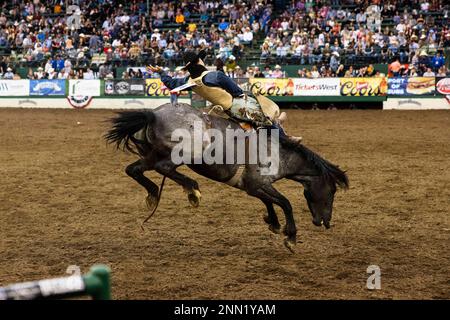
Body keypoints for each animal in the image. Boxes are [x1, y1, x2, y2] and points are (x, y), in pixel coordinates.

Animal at [104, 103, 348, 252]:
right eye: (333, 191)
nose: (326, 222)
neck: (279, 151)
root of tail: (154, 114)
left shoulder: (253, 186)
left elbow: (270, 202)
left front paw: (274, 223)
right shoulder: (260, 183)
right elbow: (286, 203)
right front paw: (291, 237)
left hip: (150, 154)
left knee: (134, 170)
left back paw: (154, 193)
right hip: (181, 154)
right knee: (163, 168)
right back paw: (192, 190)